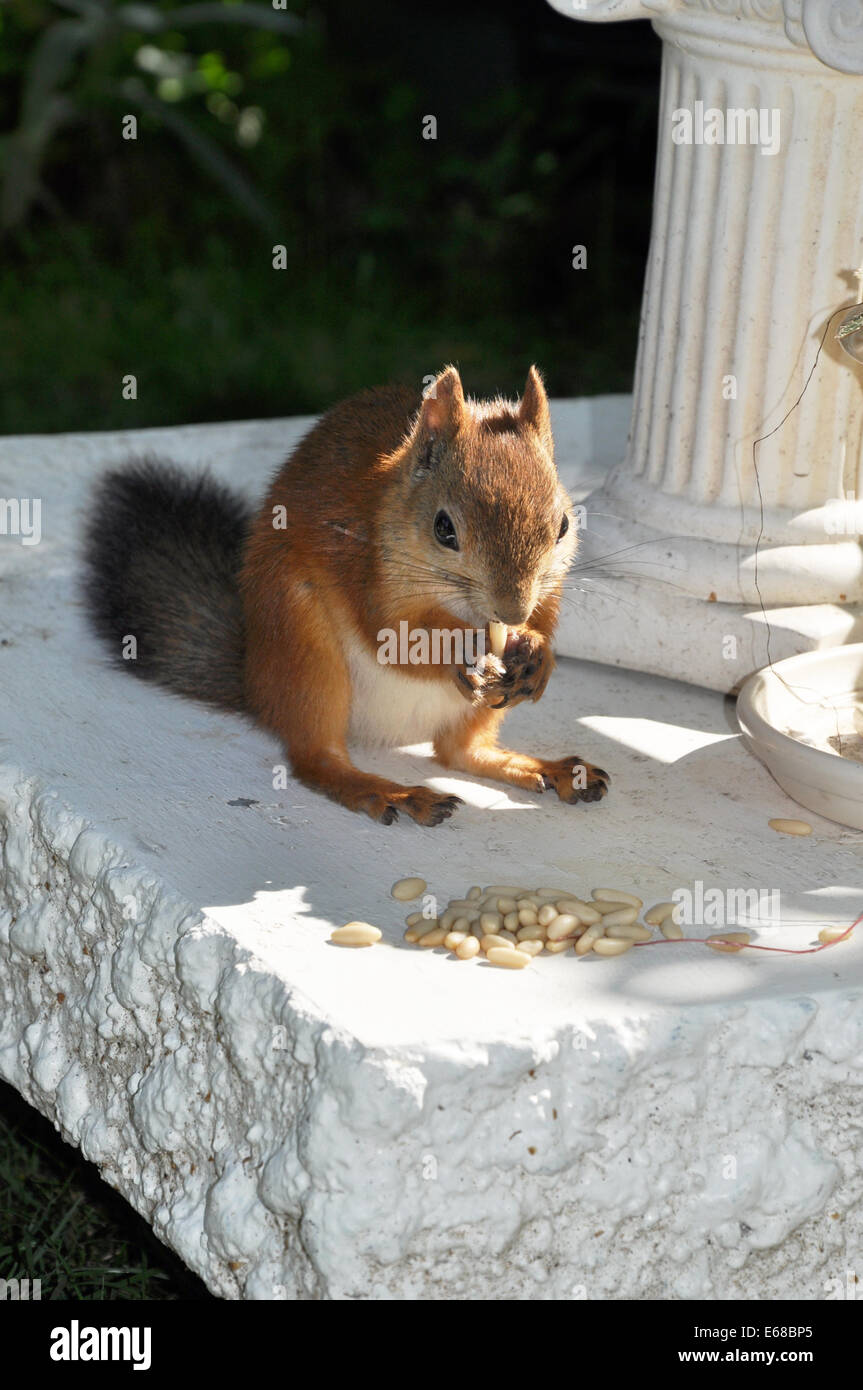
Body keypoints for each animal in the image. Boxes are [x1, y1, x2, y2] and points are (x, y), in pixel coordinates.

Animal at [80, 366, 605, 822]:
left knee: (460, 753)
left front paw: (535, 652)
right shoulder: (366, 574)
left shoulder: (551, 588)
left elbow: (546, 619)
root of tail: (256, 682)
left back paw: (546, 768)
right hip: (306, 649)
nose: (511, 610)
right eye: (444, 528)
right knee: (317, 760)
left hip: (470, 712)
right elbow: (396, 639)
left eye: (563, 525)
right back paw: (388, 791)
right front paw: (465, 649)